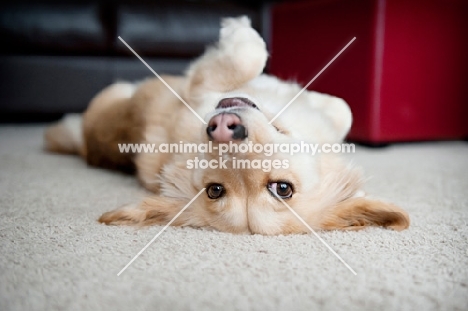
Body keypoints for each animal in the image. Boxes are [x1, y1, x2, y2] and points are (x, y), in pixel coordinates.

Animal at [44, 16, 410, 236]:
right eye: (216, 190)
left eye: (282, 188)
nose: (222, 126)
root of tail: (86, 146)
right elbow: (249, 59)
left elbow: (340, 109)